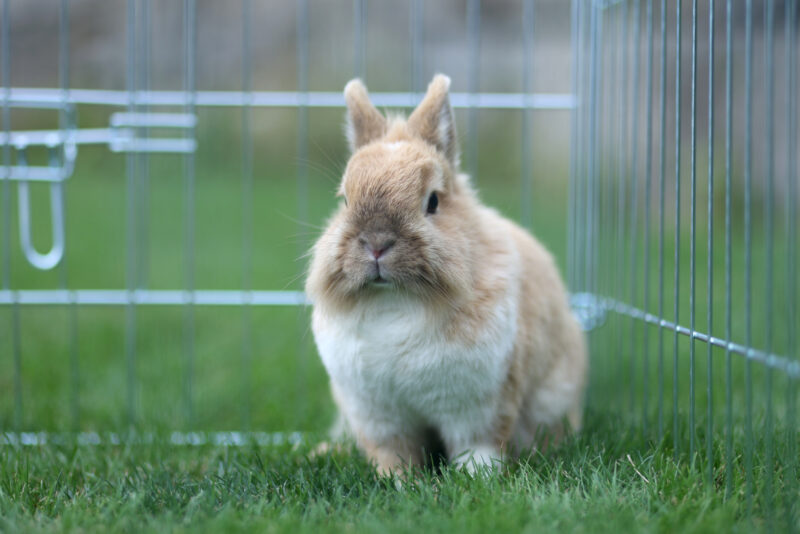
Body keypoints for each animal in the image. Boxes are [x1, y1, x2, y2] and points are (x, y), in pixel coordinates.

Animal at [306, 73, 588, 476]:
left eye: (433, 201)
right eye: (345, 201)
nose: (376, 243)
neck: (395, 300)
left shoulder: (481, 407)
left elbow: (479, 448)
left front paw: (477, 479)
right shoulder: (377, 416)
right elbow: (392, 453)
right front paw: (398, 481)